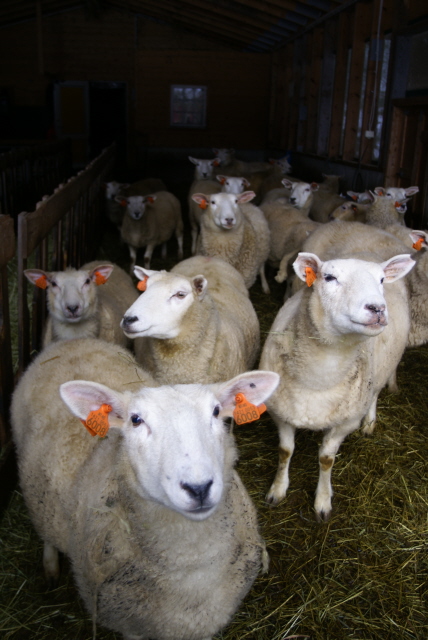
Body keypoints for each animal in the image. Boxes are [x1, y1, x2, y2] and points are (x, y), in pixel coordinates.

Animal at [11, 336, 279, 640]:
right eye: (136, 420)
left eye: (216, 411)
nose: (198, 487)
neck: (193, 568)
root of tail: (73, 341)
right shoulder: (130, 626)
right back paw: (50, 567)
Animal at [260, 251, 415, 520]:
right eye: (329, 277)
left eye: (382, 280)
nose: (377, 308)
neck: (318, 379)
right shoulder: (281, 413)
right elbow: (285, 451)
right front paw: (277, 490)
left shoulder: (345, 423)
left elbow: (326, 459)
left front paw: (322, 501)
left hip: (381, 370)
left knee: (374, 393)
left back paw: (369, 423)